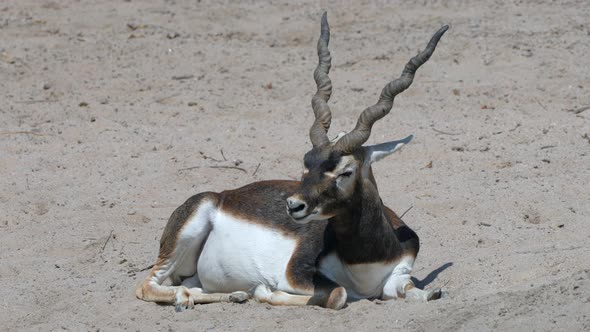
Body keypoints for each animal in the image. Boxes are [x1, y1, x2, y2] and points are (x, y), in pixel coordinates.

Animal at [135, 12, 448, 312]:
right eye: (306, 163)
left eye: (345, 171)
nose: (294, 205)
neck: (365, 262)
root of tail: (221, 195)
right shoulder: (296, 275)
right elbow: (338, 294)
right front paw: (264, 291)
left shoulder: (400, 275)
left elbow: (422, 293)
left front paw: (430, 292)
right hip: (183, 238)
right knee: (148, 286)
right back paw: (192, 298)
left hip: (198, 273)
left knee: (193, 287)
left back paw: (234, 295)